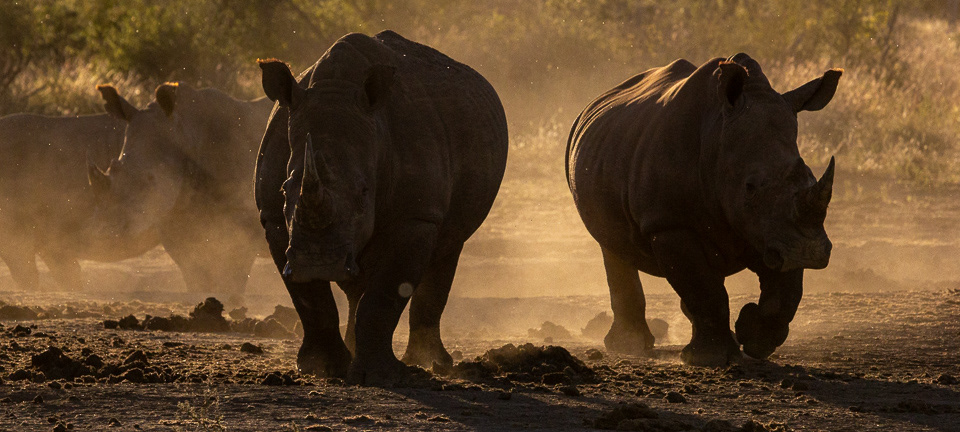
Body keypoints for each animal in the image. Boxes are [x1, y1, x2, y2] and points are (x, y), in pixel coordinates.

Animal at [88, 83, 273, 296]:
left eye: (150, 179)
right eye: (112, 168)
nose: (103, 235)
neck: (187, 135)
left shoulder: (242, 228)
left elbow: (232, 283)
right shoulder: (178, 221)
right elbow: (195, 280)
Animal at [257, 30, 508, 384]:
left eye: (365, 193)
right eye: (283, 189)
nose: (318, 263)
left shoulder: (416, 217)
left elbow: (385, 295)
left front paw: (378, 376)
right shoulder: (274, 219)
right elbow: (311, 302)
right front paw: (322, 369)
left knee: (447, 249)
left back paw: (431, 363)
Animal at [566, 54, 841, 365]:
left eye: (810, 177)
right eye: (750, 187)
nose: (810, 253)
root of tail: (591, 105)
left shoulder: (776, 234)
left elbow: (784, 294)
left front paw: (753, 341)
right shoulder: (669, 223)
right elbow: (705, 290)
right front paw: (710, 358)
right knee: (612, 248)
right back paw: (629, 346)